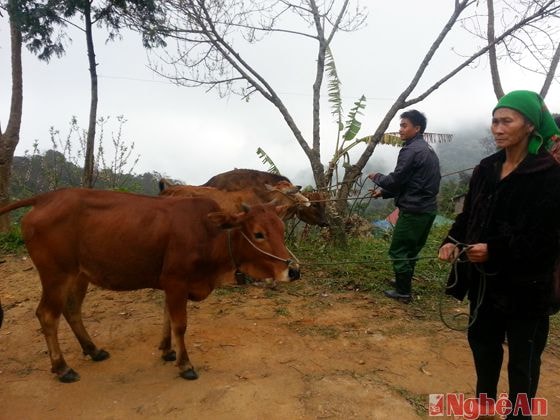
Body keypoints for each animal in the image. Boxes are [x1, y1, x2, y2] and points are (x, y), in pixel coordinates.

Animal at [0, 189, 298, 382]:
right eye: (258, 234)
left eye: (282, 230)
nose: (293, 270)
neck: (209, 235)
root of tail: (45, 198)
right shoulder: (176, 281)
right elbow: (180, 324)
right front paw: (185, 364)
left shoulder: (171, 284)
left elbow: (167, 317)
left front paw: (167, 350)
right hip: (56, 274)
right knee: (47, 315)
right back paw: (62, 368)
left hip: (79, 275)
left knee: (72, 310)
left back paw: (93, 350)